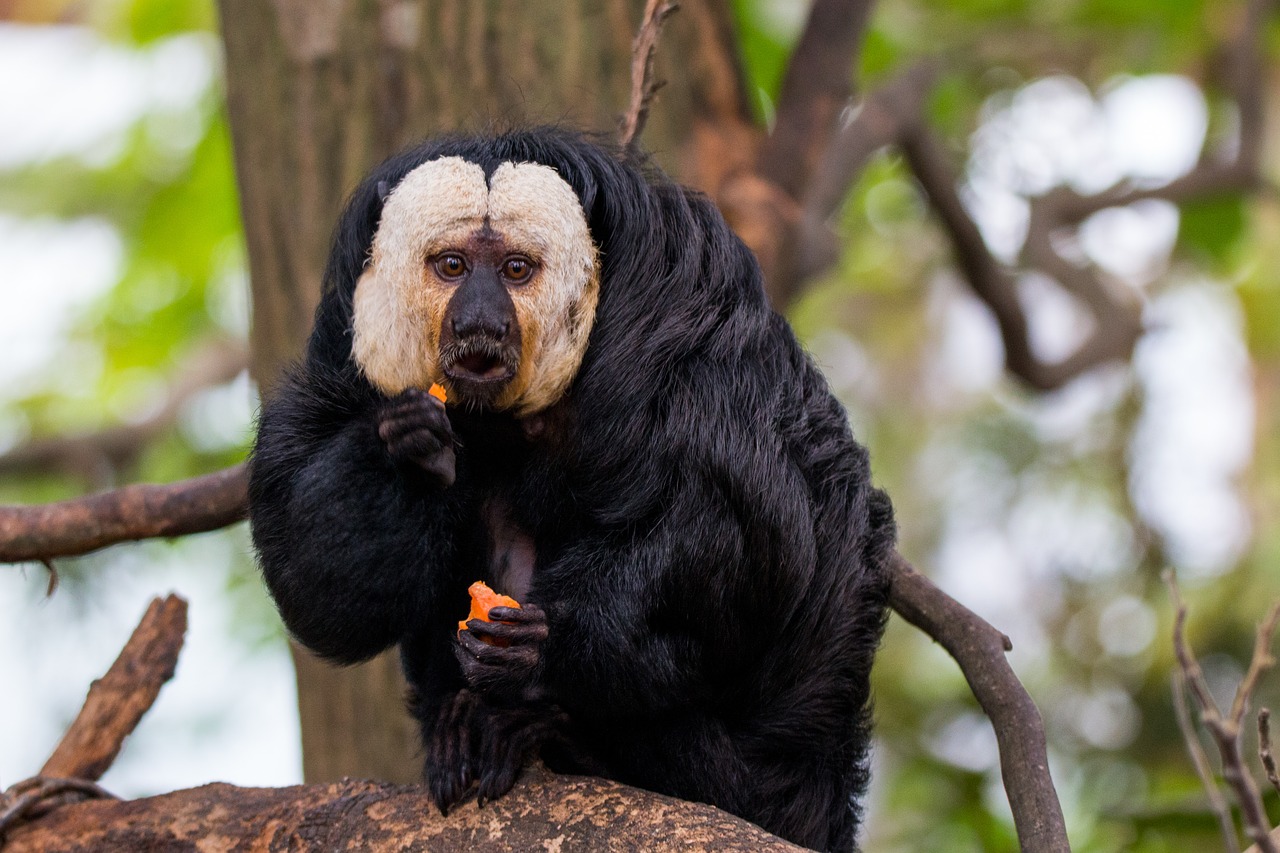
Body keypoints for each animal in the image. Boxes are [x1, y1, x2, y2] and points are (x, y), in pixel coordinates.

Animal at [247, 128, 890, 850]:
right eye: (451, 266)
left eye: (515, 270)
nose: (479, 322)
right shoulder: (340, 348)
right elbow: (322, 584)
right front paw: (408, 449)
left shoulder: (691, 330)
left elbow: (750, 529)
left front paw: (540, 648)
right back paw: (462, 723)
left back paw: (551, 730)